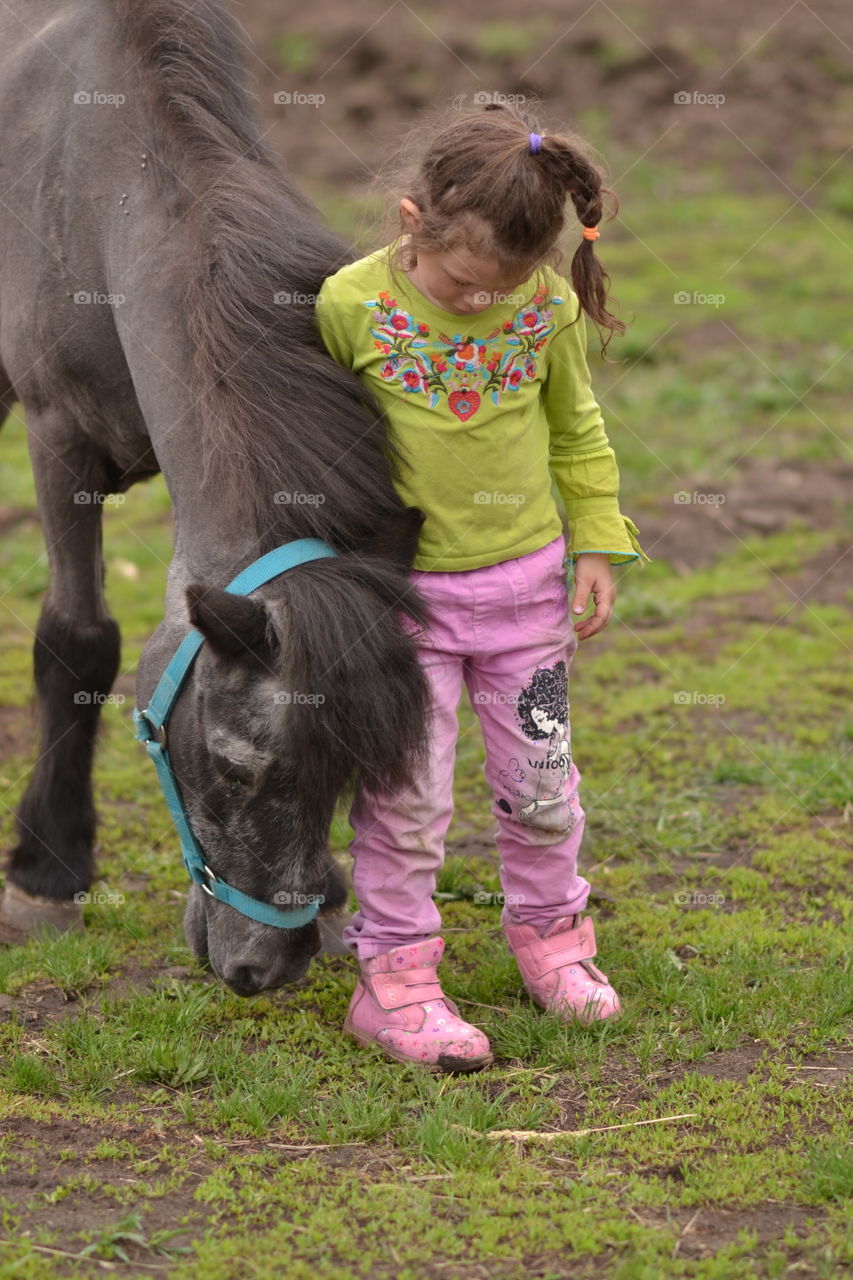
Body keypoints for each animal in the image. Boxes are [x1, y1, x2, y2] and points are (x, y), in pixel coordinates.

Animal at [0, 0, 430, 996]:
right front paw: (48, 867)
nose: (268, 967)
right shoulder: (54, 432)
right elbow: (78, 639)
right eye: (237, 771)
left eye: (345, 774)